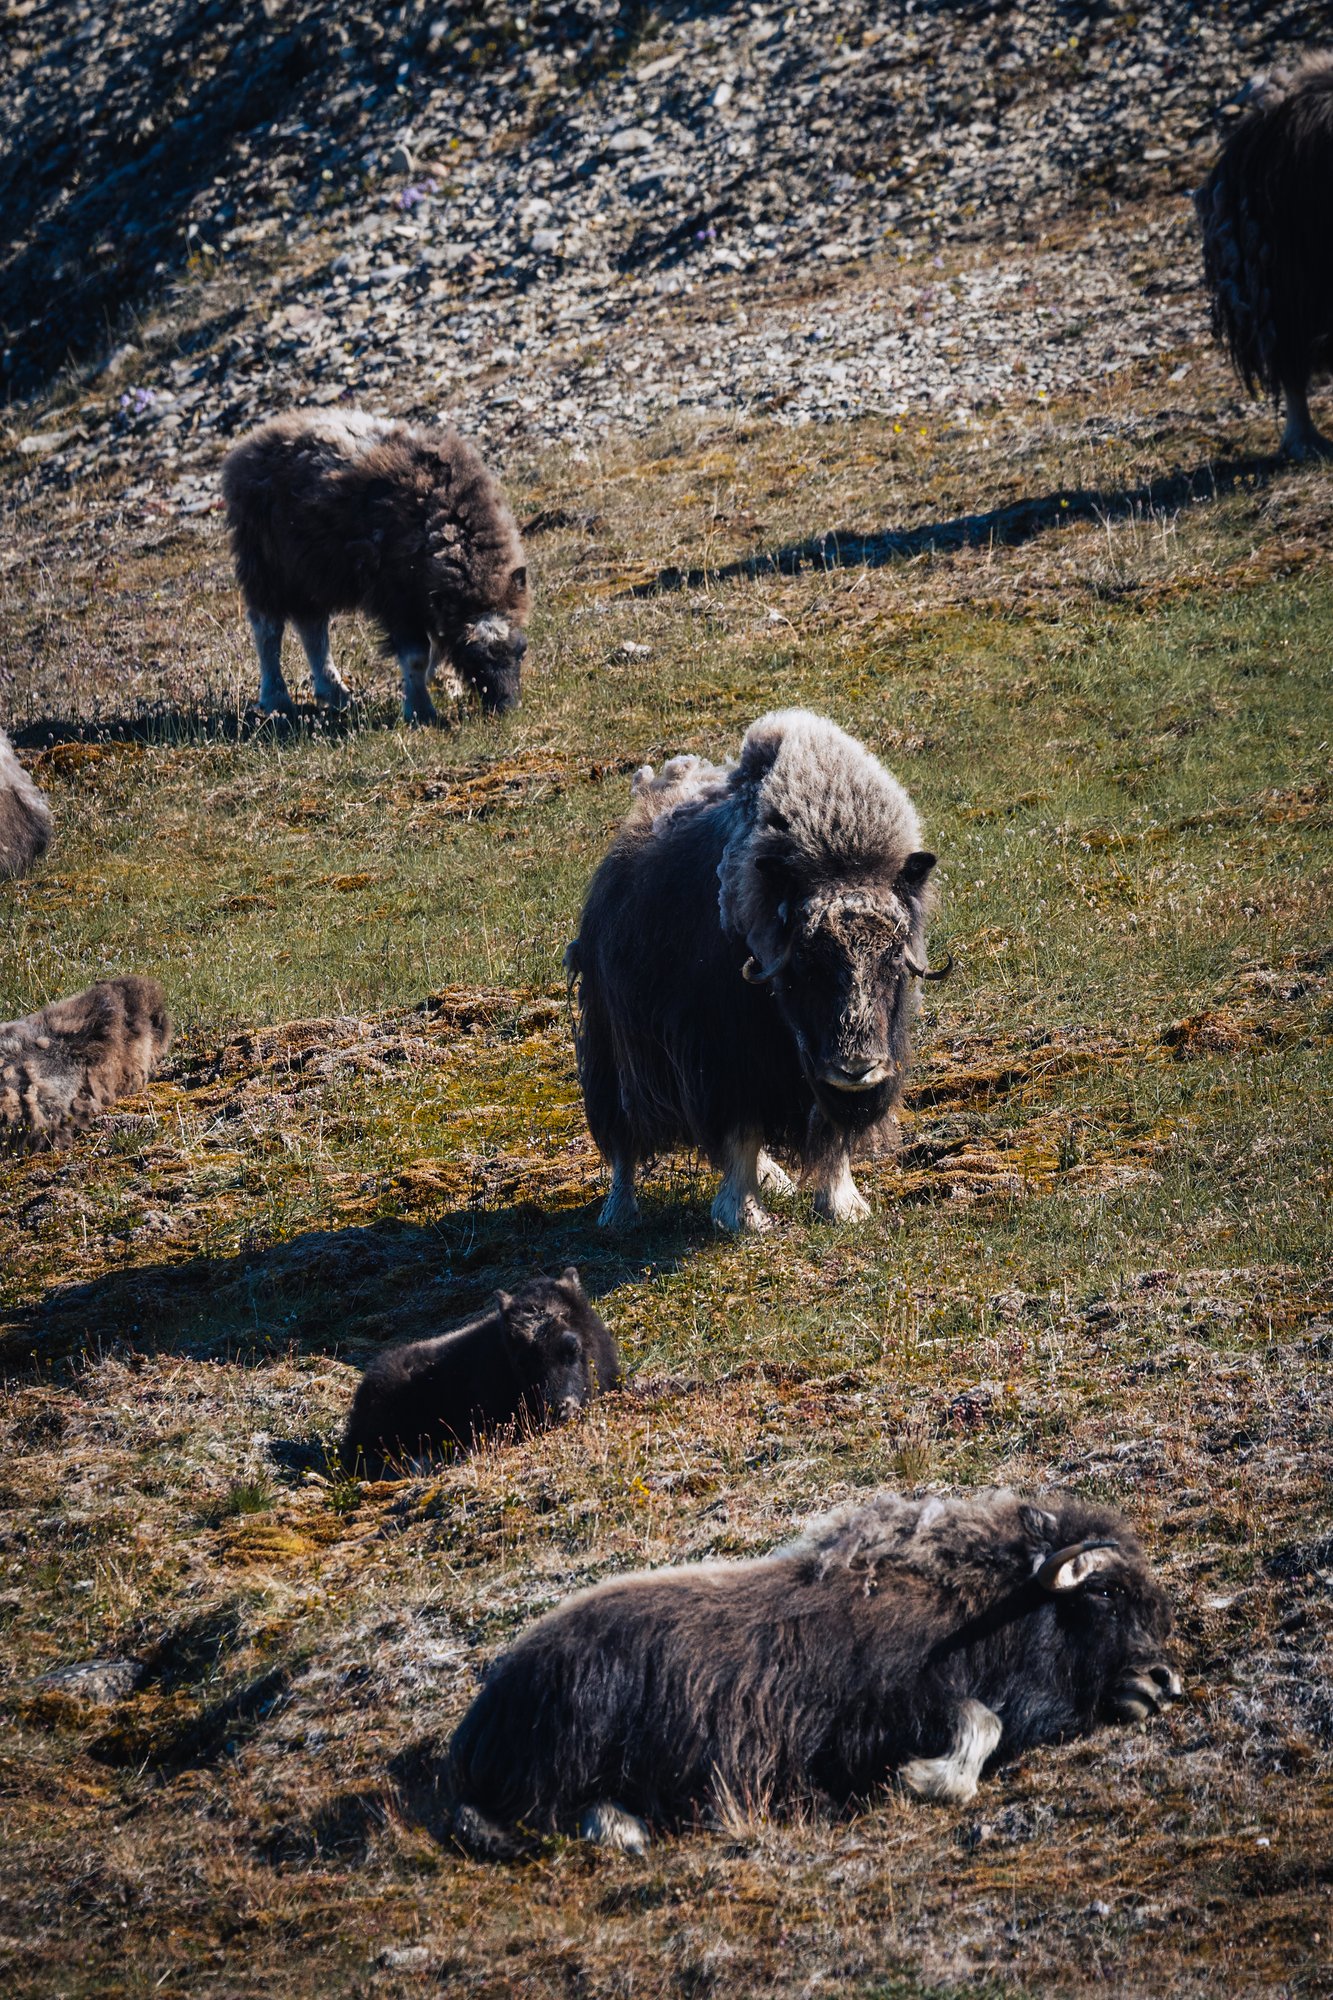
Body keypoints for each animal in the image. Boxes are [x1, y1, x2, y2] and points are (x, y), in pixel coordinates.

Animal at [220, 410, 529, 721]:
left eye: (521, 649)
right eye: (470, 655)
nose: (507, 707)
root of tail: (248, 447)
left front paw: (445, 686)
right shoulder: (398, 601)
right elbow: (416, 656)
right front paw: (421, 712)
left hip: (312, 573)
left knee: (312, 628)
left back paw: (337, 695)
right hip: (267, 566)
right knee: (268, 628)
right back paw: (277, 701)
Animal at [447, 1486, 1181, 1856]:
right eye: (1104, 1592)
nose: (1162, 1683)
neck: (981, 1606)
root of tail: (485, 1708)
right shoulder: (879, 1712)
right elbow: (981, 1723)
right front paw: (921, 1779)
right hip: (573, 1746)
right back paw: (628, 1835)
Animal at [566, 710, 948, 1233]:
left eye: (892, 956)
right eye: (806, 960)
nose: (857, 1068)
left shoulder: (821, 1070)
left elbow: (829, 1129)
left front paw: (843, 1206)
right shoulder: (724, 1053)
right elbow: (741, 1127)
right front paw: (744, 1217)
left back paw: (776, 1179)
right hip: (612, 1040)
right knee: (623, 1127)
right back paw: (619, 1213)